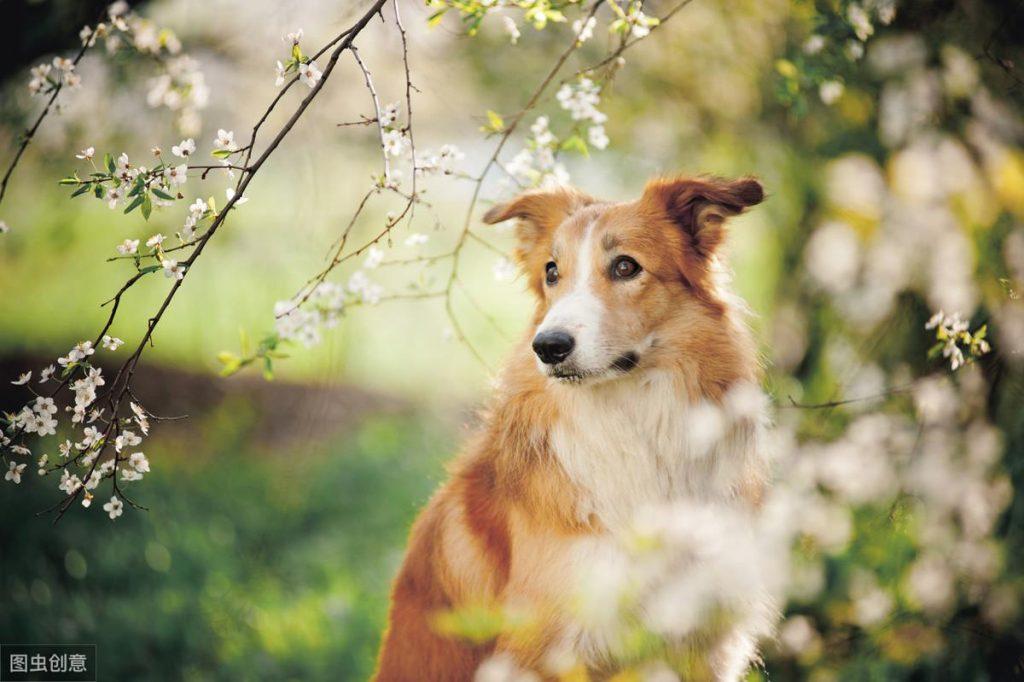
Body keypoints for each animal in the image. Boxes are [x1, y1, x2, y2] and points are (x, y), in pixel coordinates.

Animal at [374, 175, 770, 679]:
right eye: (551, 271)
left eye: (625, 266)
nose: (548, 347)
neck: (629, 420)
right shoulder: (544, 650)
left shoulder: (703, 646)